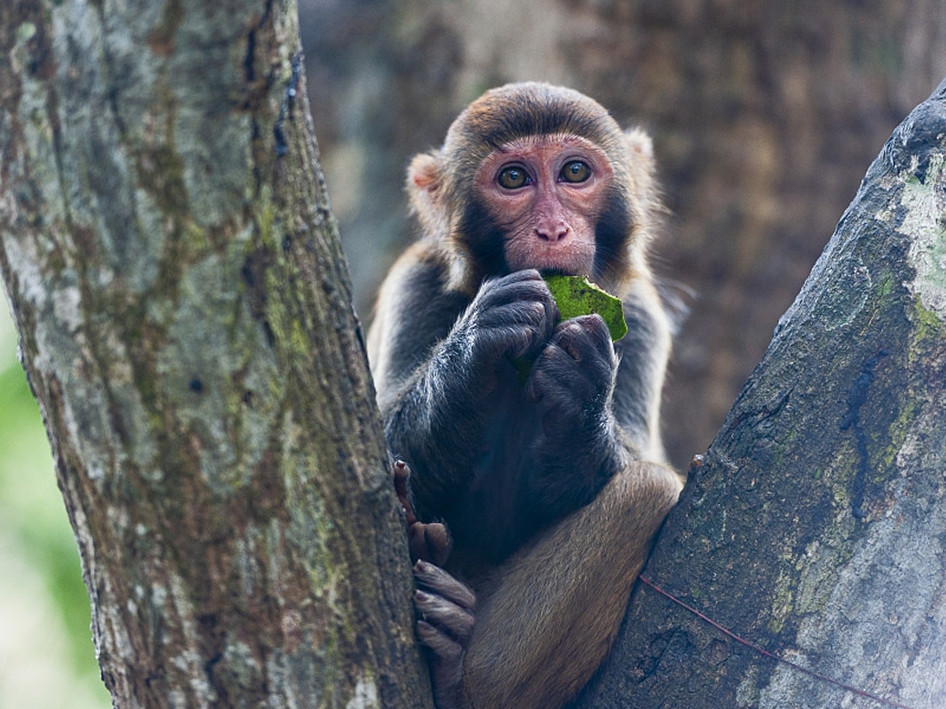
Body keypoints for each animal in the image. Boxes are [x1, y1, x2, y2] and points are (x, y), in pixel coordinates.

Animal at [366, 81, 684, 708]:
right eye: (513, 179)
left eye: (575, 172)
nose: (553, 231)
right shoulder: (415, 284)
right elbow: (382, 448)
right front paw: (475, 343)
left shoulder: (638, 315)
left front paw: (583, 392)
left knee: (650, 491)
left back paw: (461, 673)